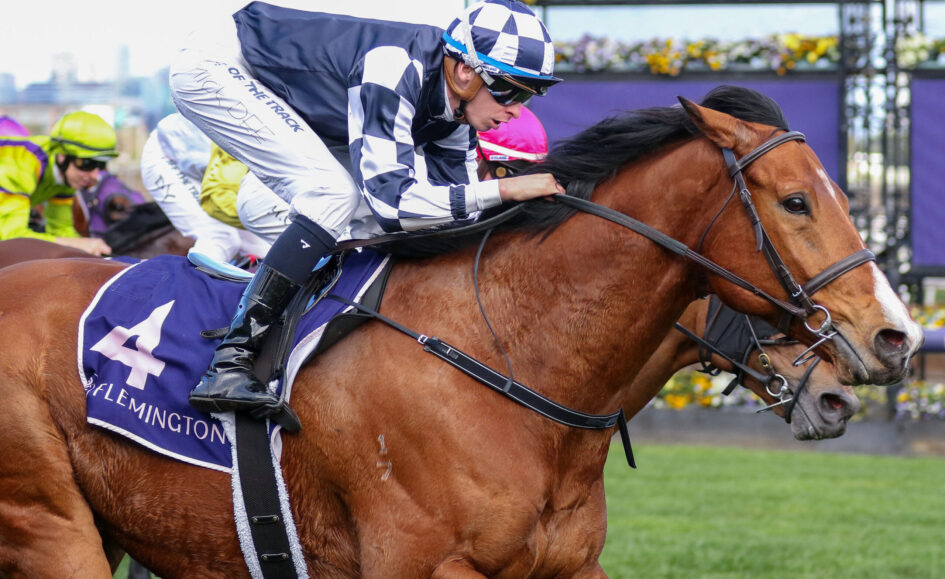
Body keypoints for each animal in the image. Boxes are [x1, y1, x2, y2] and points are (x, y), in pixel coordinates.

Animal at [0, 87, 921, 577]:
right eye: (795, 201)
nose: (895, 337)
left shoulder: (567, 564)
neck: (509, 352)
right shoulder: (416, 560)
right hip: (52, 527)